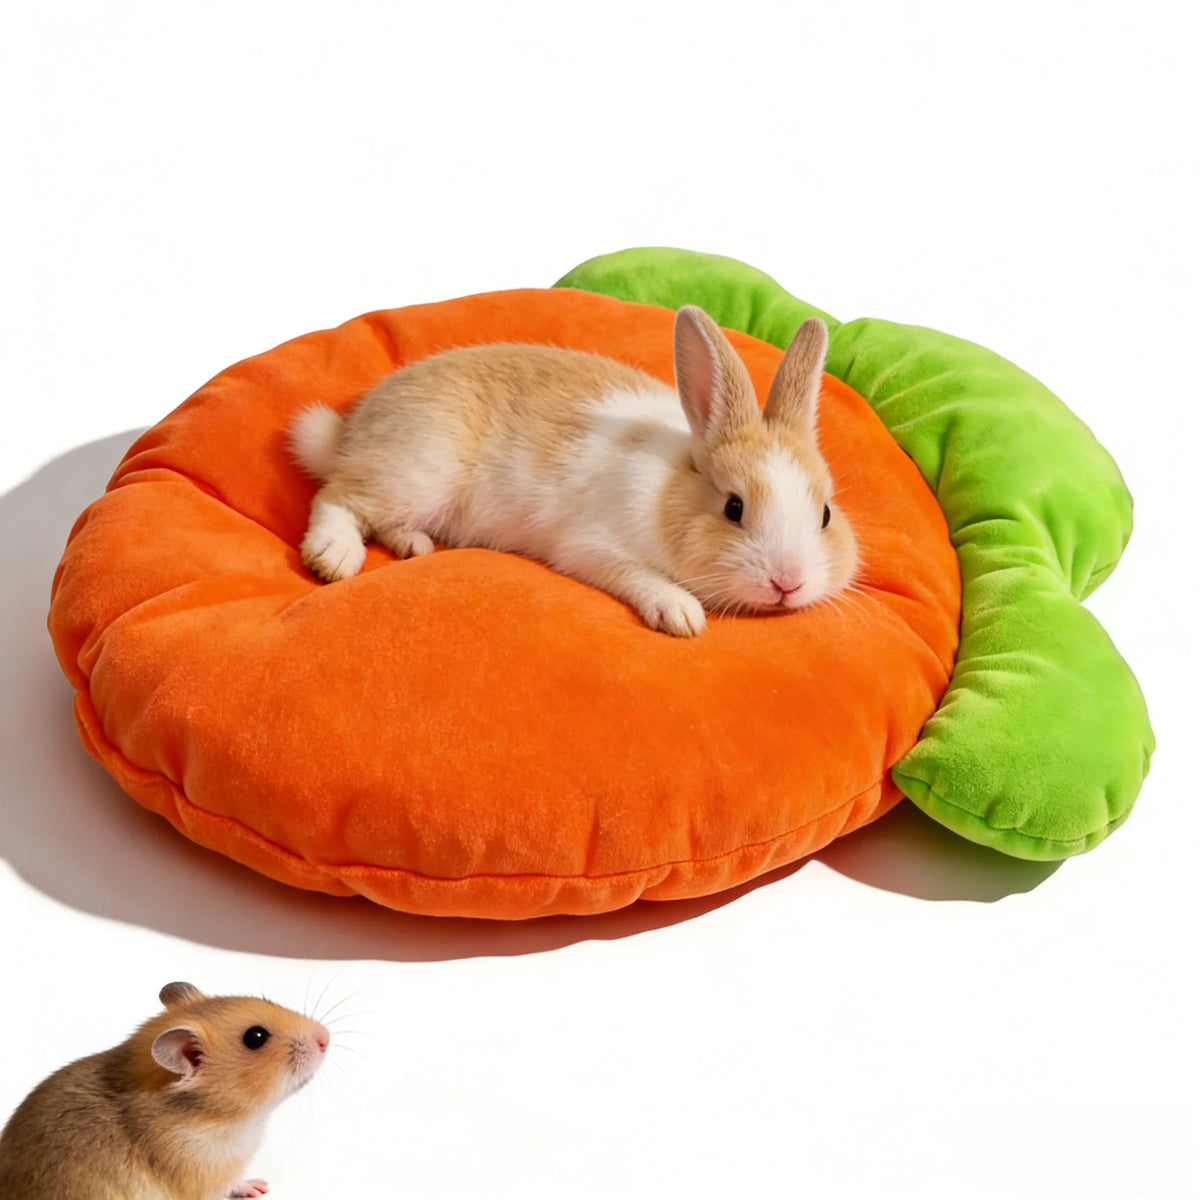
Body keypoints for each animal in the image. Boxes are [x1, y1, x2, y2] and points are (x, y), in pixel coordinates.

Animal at [289, 305, 858, 637]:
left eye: (826, 515)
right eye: (733, 508)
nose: (788, 583)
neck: (672, 488)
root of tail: (350, 430)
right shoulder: (591, 547)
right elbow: (636, 575)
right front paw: (681, 613)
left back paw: (413, 544)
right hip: (417, 471)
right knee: (336, 497)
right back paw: (334, 557)